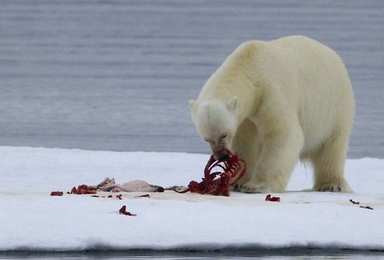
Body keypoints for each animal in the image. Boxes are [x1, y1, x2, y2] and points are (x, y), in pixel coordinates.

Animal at [189, 35, 354, 193]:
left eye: (224, 134)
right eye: (206, 139)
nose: (222, 155)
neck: (248, 64)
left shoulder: (270, 91)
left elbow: (283, 132)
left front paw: (257, 185)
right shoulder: (245, 118)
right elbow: (245, 143)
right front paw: (237, 182)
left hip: (334, 106)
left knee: (332, 146)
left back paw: (332, 184)